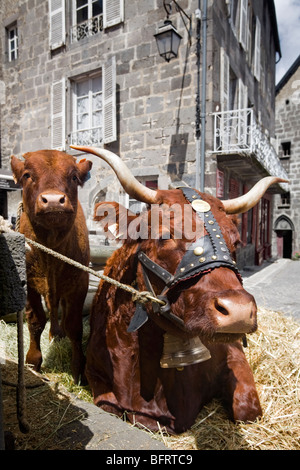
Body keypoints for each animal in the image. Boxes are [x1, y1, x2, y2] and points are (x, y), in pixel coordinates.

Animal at [11, 149, 92, 384]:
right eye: (27, 175)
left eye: (73, 176)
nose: (54, 201)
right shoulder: (29, 284)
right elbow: (36, 319)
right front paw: (33, 361)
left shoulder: (79, 283)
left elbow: (74, 325)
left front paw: (78, 368)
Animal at [71, 144, 288, 434]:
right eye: (165, 235)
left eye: (236, 241)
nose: (239, 311)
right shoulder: (96, 377)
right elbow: (117, 408)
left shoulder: (234, 354)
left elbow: (247, 409)